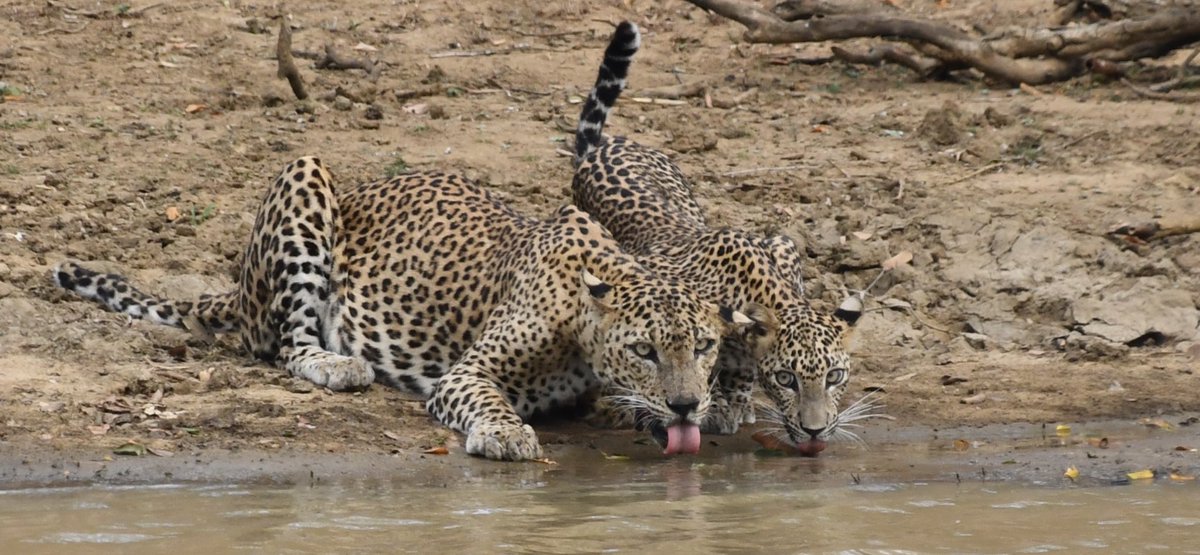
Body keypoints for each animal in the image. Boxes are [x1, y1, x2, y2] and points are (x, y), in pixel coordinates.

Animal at [56, 154, 753, 458]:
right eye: (644, 350)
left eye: (706, 346)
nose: (686, 404)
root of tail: (240, 283)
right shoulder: (465, 374)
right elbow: (488, 400)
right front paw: (506, 433)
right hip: (305, 176)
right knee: (286, 344)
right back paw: (337, 365)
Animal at [566, 22, 878, 454]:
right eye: (787, 379)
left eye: (834, 376)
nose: (816, 430)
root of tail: (601, 147)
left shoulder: (784, 246)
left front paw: (739, 402)